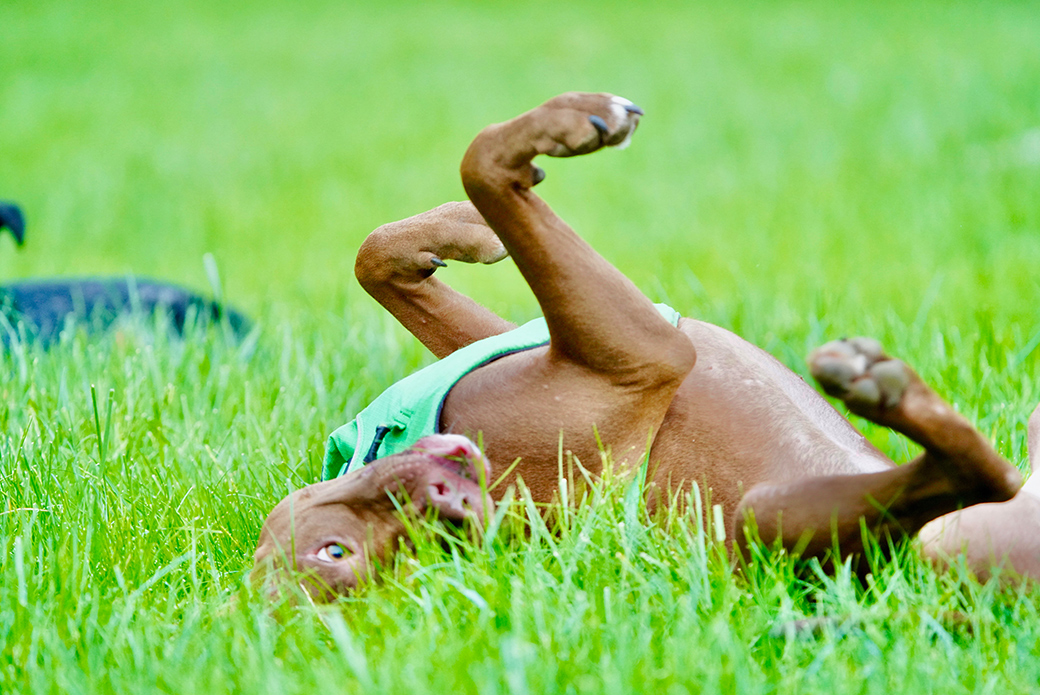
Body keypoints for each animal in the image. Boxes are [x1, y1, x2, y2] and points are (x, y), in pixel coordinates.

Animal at [253, 93, 1039, 598]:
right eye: (336, 552)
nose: (442, 497)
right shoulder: (645, 351)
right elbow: (480, 162)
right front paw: (565, 127)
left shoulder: (531, 337)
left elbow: (380, 255)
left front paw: (460, 231)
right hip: (776, 521)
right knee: (979, 470)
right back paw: (879, 388)